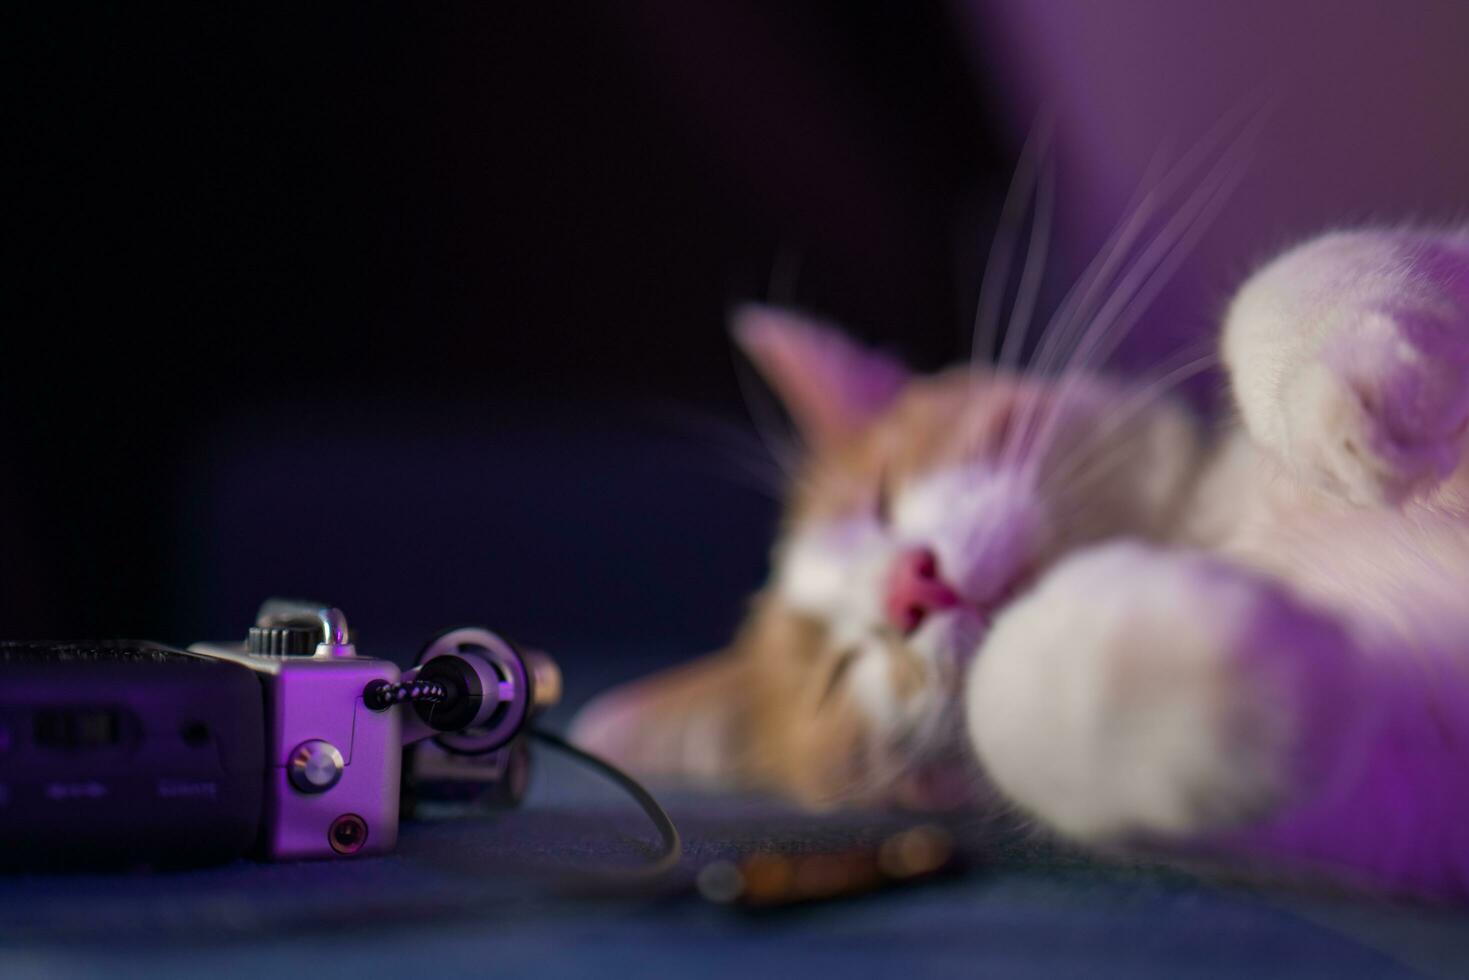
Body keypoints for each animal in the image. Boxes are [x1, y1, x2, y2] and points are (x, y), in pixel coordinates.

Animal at [569, 226, 1469, 899]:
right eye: (836, 674)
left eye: (882, 495)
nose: (908, 587)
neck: (1202, 530)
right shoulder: (1410, 804)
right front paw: (1243, 664)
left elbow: (1297, 274)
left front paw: (1372, 380)